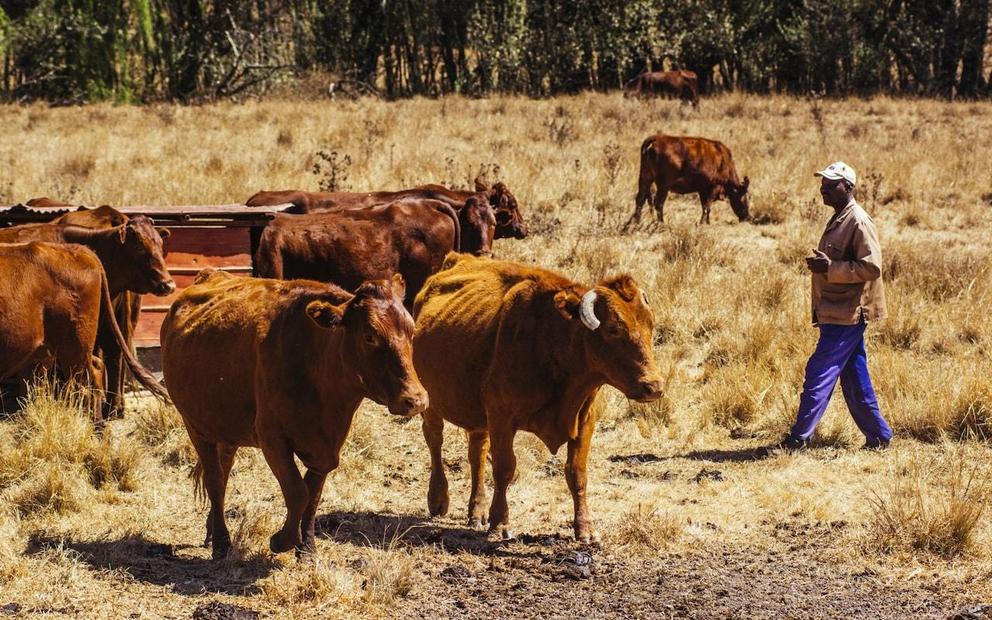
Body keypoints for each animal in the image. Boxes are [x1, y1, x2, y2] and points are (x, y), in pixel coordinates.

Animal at [162, 268, 426, 560]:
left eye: (412, 330)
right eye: (370, 335)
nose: (415, 399)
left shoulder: (328, 446)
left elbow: (313, 494)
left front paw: (307, 547)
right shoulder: (272, 439)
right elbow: (298, 492)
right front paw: (282, 540)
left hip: (226, 428)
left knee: (224, 470)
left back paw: (212, 531)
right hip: (196, 426)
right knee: (215, 480)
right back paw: (221, 542)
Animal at [410, 252, 668, 544]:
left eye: (650, 324)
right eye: (613, 328)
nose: (654, 386)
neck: (554, 342)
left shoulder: (584, 419)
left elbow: (577, 473)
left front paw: (585, 529)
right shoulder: (501, 417)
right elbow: (504, 468)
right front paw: (500, 523)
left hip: (477, 417)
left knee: (477, 452)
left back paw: (477, 511)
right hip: (431, 404)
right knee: (435, 440)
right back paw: (438, 499)